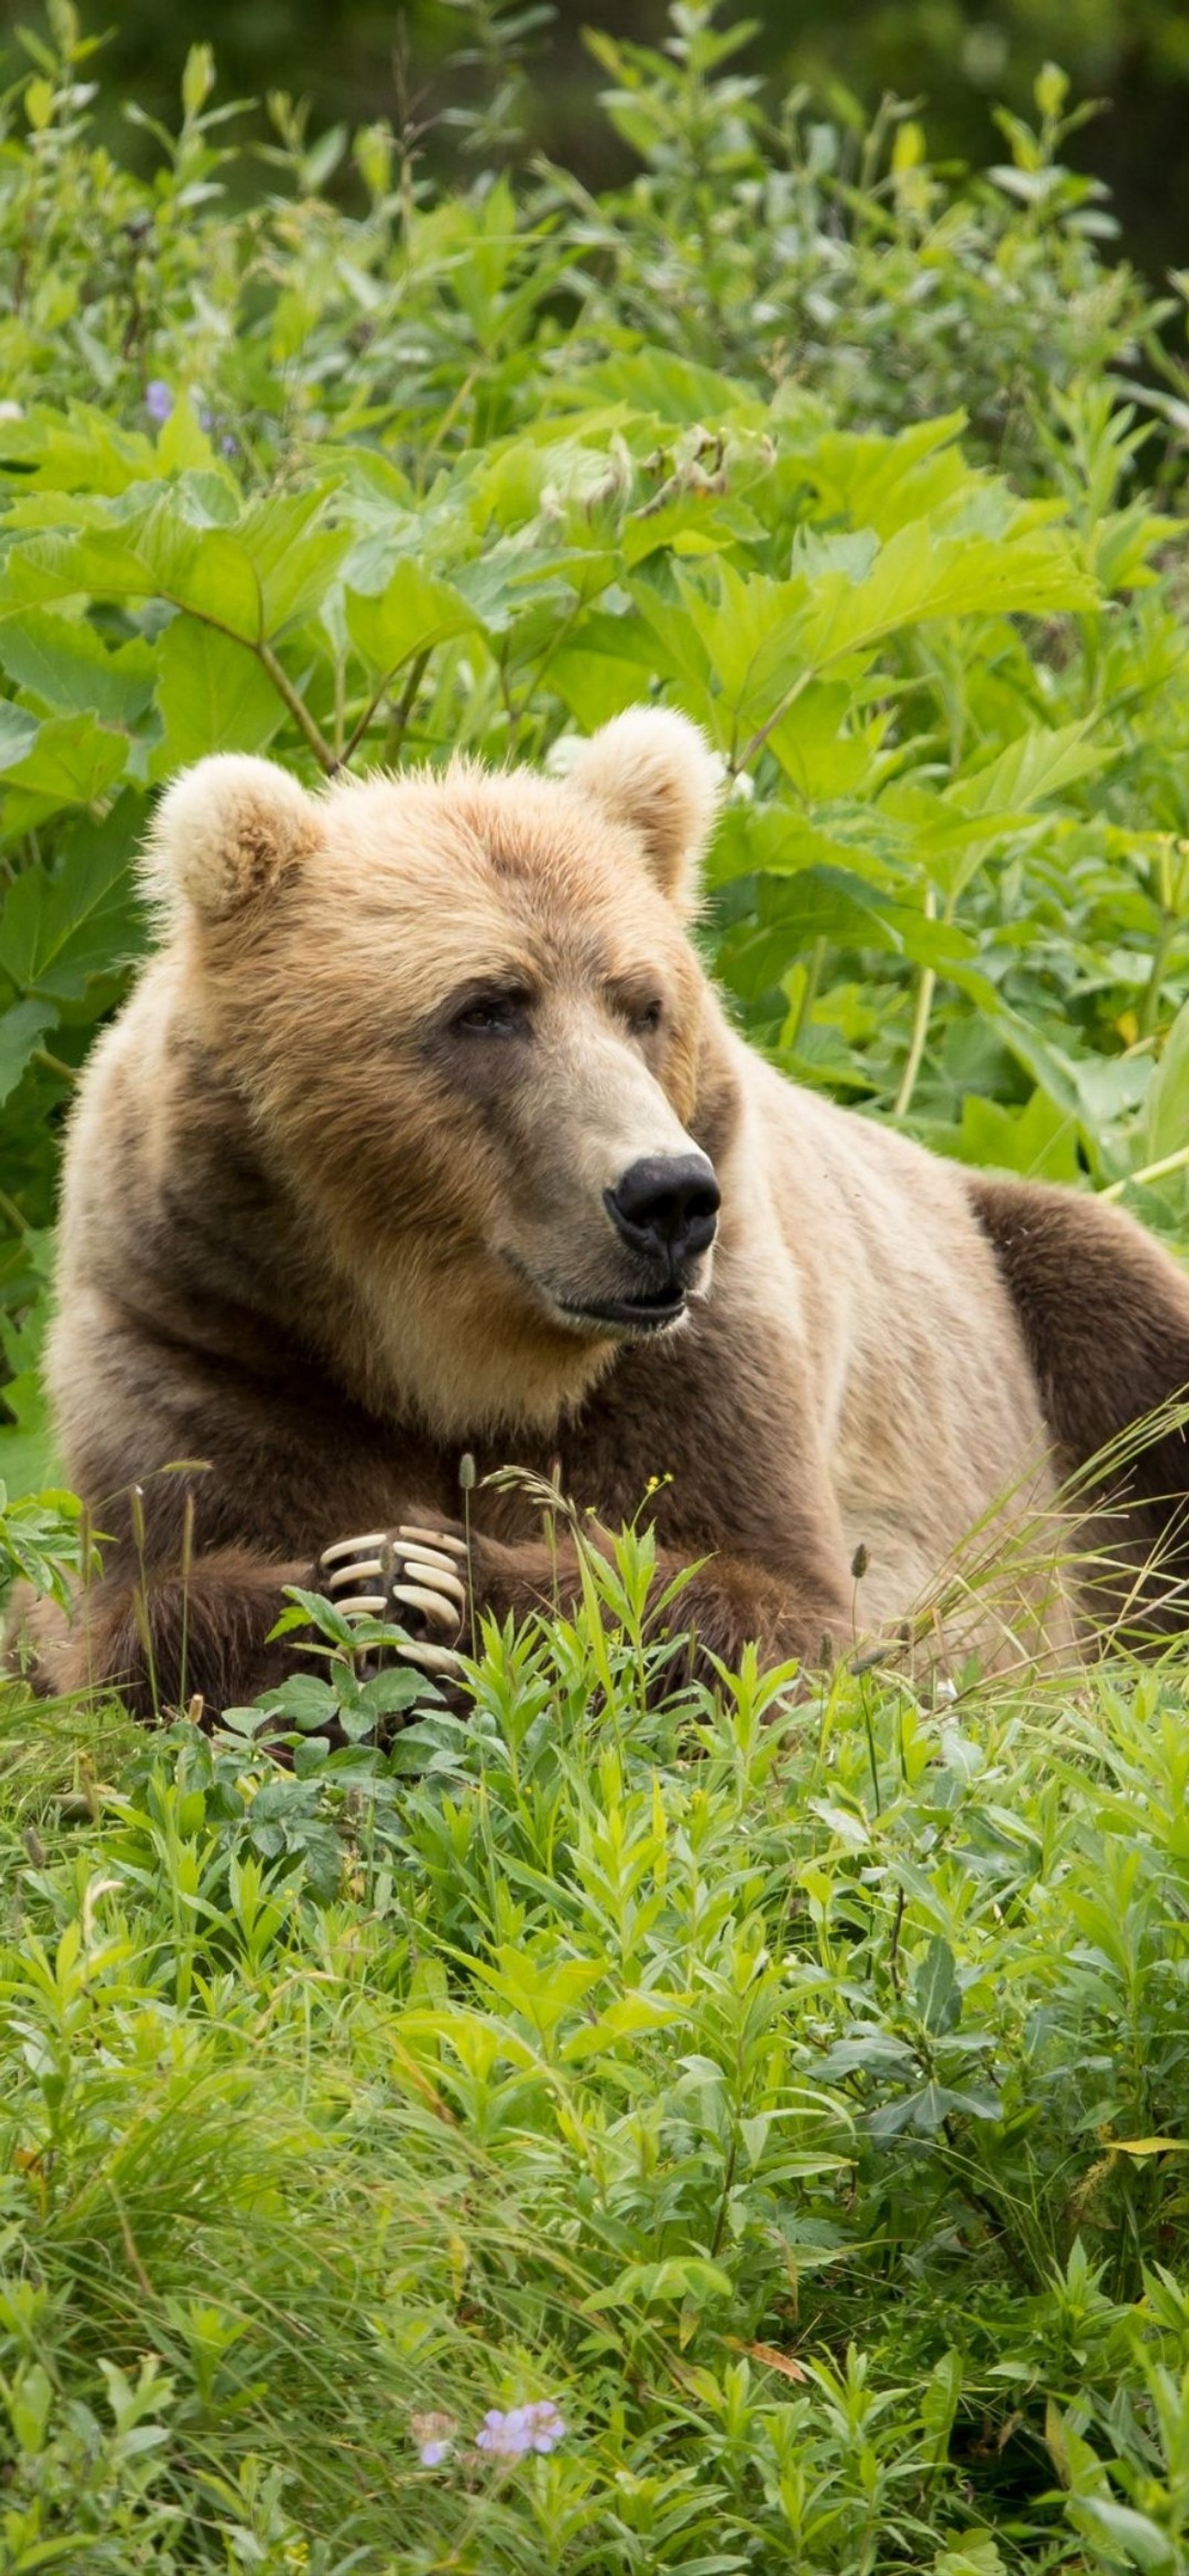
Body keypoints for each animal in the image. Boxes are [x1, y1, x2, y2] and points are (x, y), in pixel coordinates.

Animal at [20, 710, 1189, 1710]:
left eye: (644, 1003)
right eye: (487, 1008)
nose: (666, 1196)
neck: (448, 1352)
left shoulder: (709, 1351)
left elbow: (775, 1606)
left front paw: (443, 1576)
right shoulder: (213, 1336)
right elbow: (145, 1607)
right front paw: (357, 1573)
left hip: (1028, 1275)